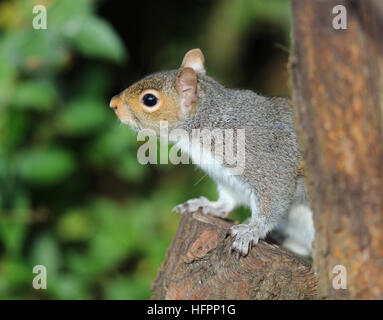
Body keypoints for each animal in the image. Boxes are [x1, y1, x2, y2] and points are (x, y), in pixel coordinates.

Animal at [109, 48, 316, 256]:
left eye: (149, 100)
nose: (113, 103)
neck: (207, 122)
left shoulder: (268, 163)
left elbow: (273, 200)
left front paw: (251, 231)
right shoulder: (227, 179)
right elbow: (228, 200)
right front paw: (207, 205)